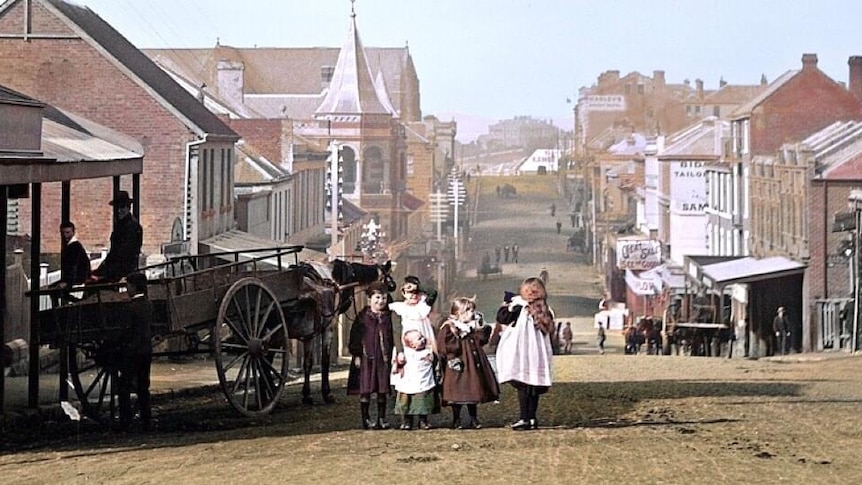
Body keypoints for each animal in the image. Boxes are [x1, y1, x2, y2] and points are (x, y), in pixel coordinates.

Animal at [286, 260, 396, 402]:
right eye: (387, 283)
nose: (389, 302)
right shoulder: (329, 325)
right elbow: (325, 361)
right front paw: (327, 393)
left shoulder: (308, 333)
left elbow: (308, 363)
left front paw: (307, 394)